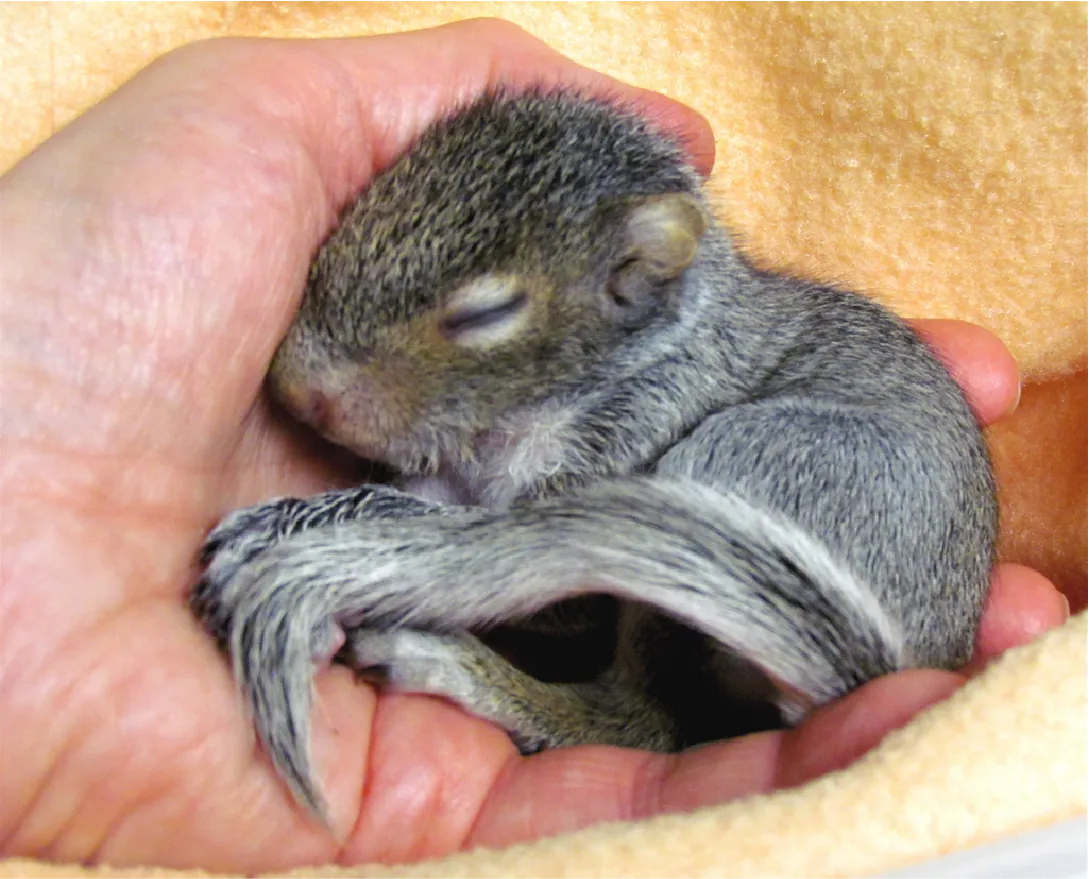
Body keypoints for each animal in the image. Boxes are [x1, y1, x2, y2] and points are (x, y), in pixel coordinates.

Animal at [190, 89, 998, 822]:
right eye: (354, 214)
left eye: (486, 314)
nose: (296, 389)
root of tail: (893, 670)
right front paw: (292, 517)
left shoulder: (634, 433)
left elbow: (521, 570)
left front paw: (299, 536)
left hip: (744, 461)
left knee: (645, 719)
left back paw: (465, 672)